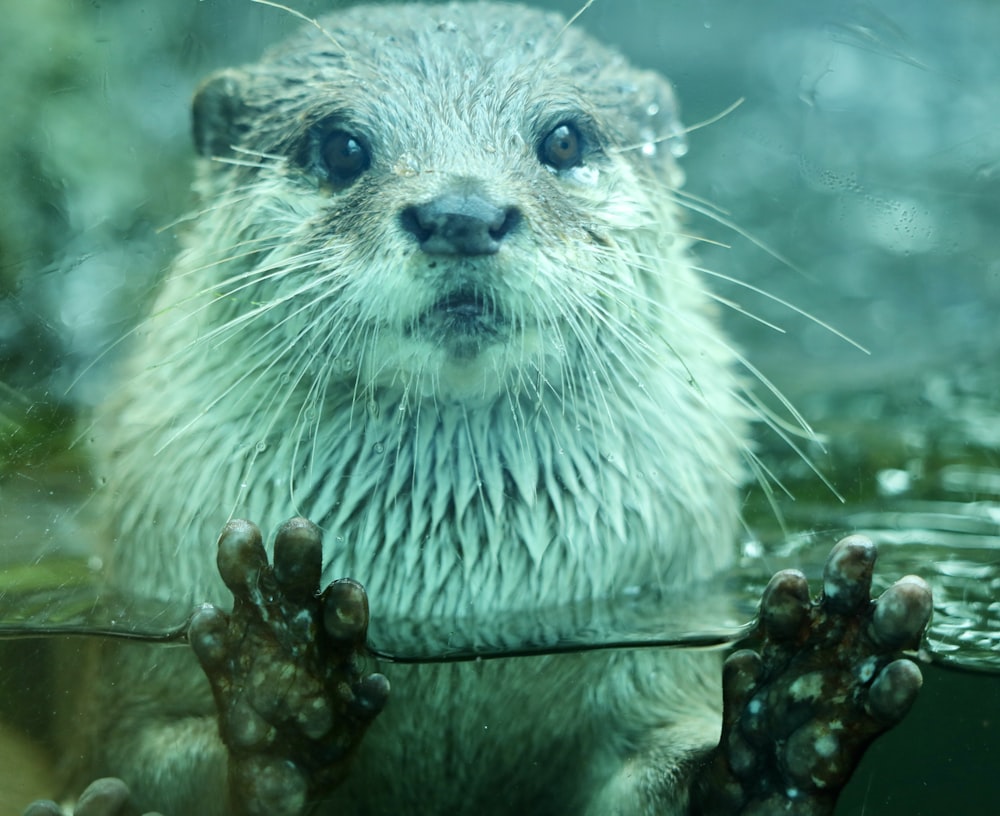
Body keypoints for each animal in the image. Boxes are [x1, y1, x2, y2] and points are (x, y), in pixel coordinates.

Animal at [33, 3, 936, 812]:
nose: (460, 211)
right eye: (341, 145)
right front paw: (280, 693)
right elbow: (139, 768)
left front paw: (796, 718)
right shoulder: (122, 698)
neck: (465, 610)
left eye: (564, 139)